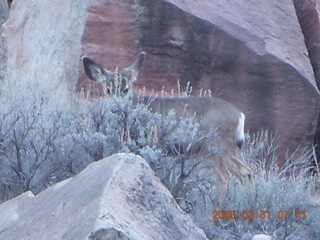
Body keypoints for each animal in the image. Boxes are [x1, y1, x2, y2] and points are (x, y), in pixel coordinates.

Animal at [82, 51, 252, 207]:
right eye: (108, 89)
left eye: (126, 89)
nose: (116, 105)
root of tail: (240, 115)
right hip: (218, 150)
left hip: (217, 144)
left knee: (236, 174)